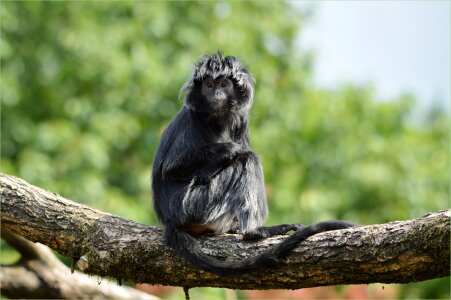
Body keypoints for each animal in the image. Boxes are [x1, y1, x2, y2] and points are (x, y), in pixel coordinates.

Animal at [152, 52, 356, 276]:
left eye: (223, 84)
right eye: (208, 84)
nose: (216, 93)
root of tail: (170, 222)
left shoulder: (241, 121)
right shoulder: (193, 119)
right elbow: (173, 169)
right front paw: (231, 149)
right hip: (193, 206)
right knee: (247, 160)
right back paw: (254, 231)